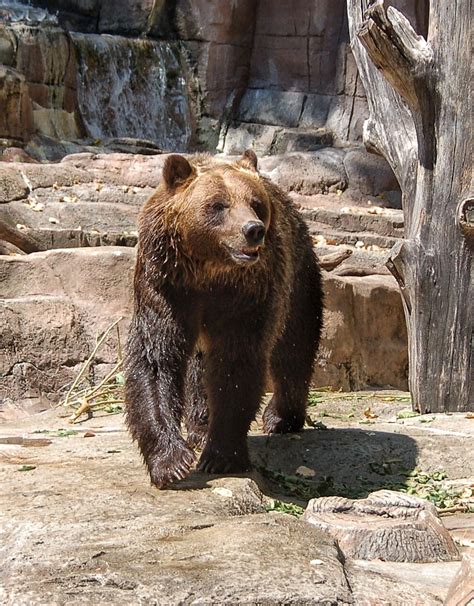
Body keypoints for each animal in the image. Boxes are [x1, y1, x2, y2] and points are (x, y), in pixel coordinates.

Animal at [123, 152, 322, 490]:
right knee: (200, 365)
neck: (208, 271)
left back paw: (280, 417)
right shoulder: (164, 284)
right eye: (218, 205)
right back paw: (200, 426)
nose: (253, 229)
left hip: (298, 277)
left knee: (294, 346)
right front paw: (172, 462)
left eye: (256, 203)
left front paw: (221, 455)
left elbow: (236, 363)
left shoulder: (249, 294)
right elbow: (157, 359)